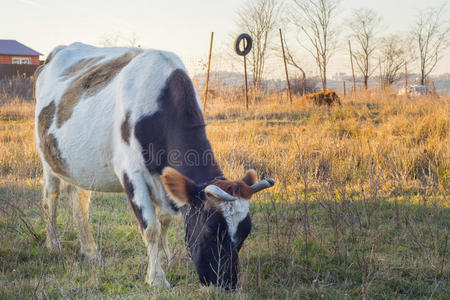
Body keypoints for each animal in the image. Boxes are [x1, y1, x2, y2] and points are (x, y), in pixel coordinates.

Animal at [34, 43, 274, 290]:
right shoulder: (131, 174)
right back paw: (53, 243)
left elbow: (165, 220)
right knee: (51, 197)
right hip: (48, 158)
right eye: (209, 229)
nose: (225, 283)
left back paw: (90, 250)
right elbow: (151, 227)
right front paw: (156, 278)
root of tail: (60, 50)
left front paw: (166, 257)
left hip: (80, 167)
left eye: (246, 232)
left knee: (80, 202)